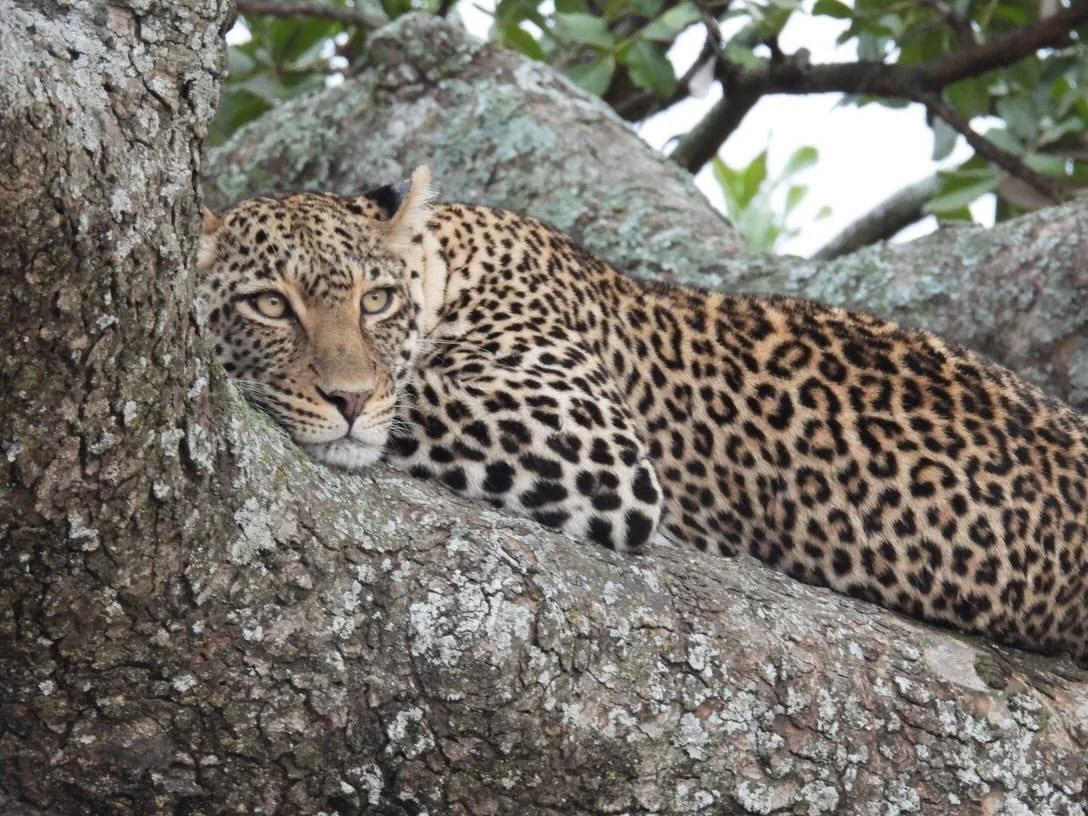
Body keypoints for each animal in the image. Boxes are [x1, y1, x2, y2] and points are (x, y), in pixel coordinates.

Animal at [197, 166, 1088, 663]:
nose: (347, 397)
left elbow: (412, 404)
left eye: (374, 300)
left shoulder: (585, 439)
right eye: (270, 305)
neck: (452, 268)